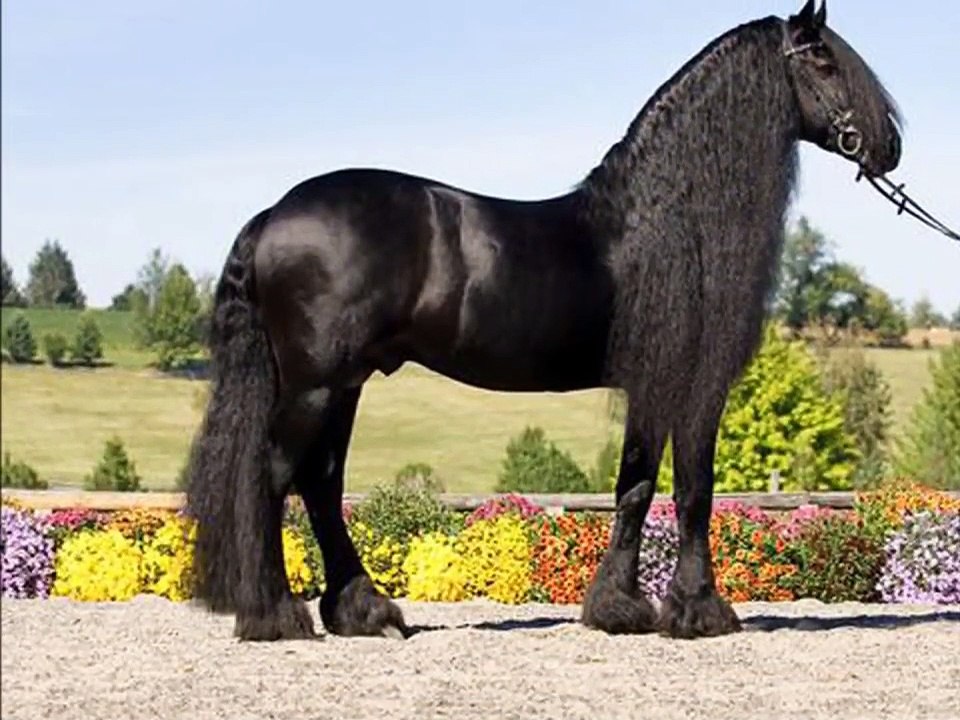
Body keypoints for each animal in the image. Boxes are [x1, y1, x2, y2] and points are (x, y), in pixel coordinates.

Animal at [184, 0, 902, 641]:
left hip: (343, 384)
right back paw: (276, 616)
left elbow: (635, 485)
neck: (669, 220)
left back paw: (365, 612)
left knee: (321, 484)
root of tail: (274, 214)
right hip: (316, 384)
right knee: (274, 479)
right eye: (824, 60)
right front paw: (700, 611)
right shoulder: (693, 383)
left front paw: (618, 608)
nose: (890, 146)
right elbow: (692, 487)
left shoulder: (651, 384)